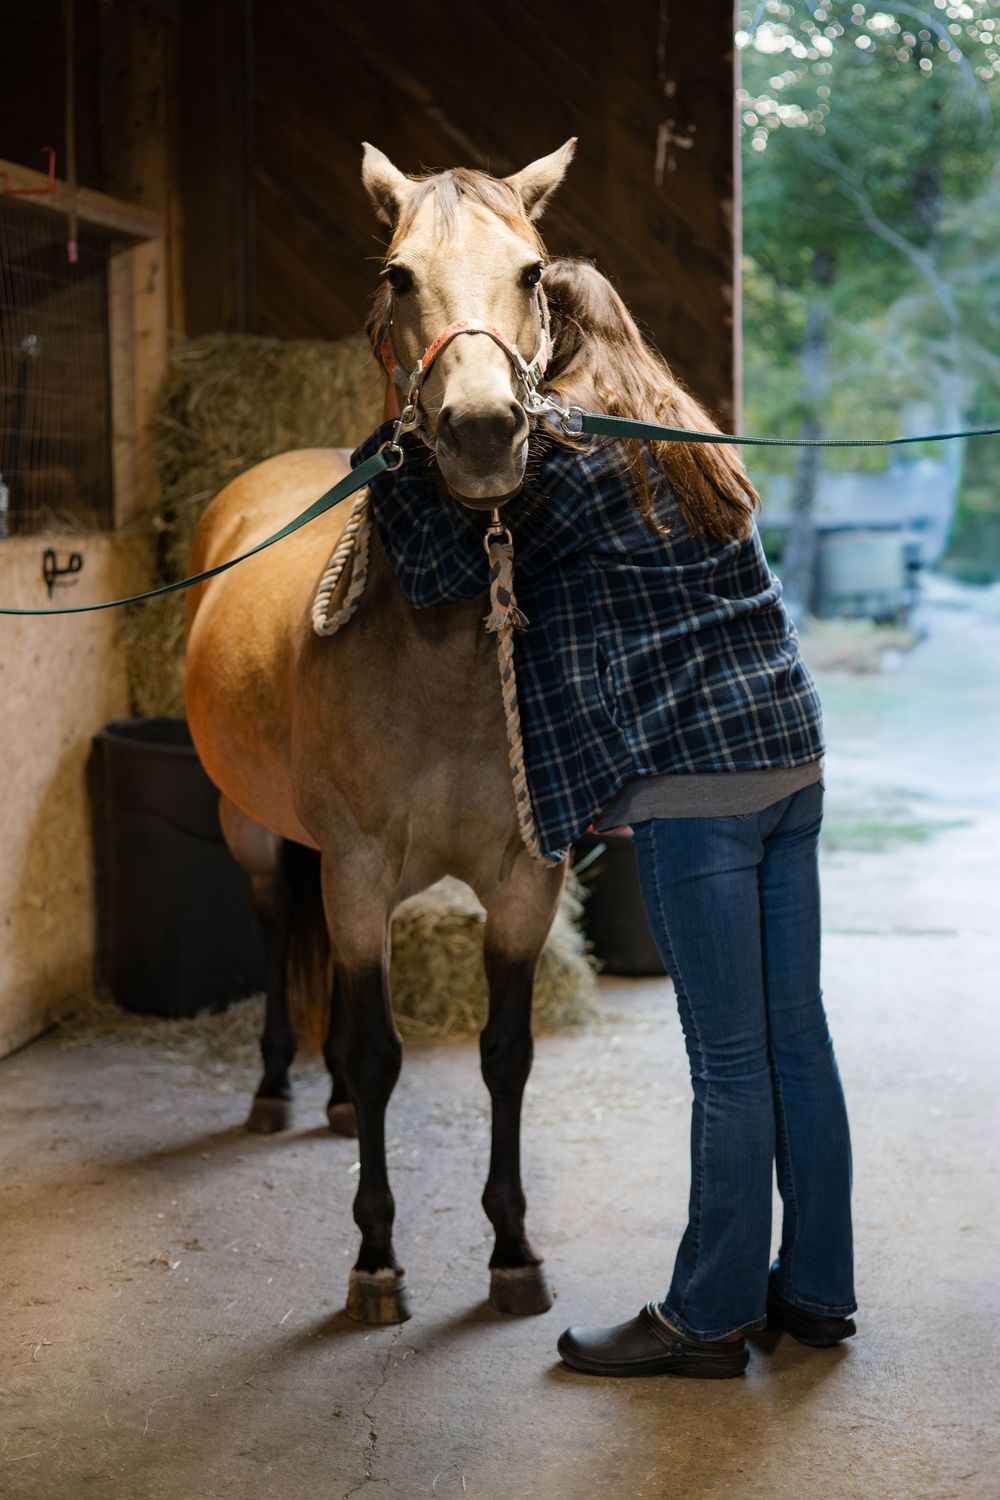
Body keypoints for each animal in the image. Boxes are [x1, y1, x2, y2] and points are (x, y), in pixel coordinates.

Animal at [183, 141, 577, 1326]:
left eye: (533, 271)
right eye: (399, 276)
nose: (484, 431)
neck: (439, 662)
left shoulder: (523, 880)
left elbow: (504, 1055)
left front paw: (512, 1250)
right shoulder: (357, 872)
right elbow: (377, 1046)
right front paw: (375, 1259)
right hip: (253, 828)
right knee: (277, 925)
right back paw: (278, 1086)